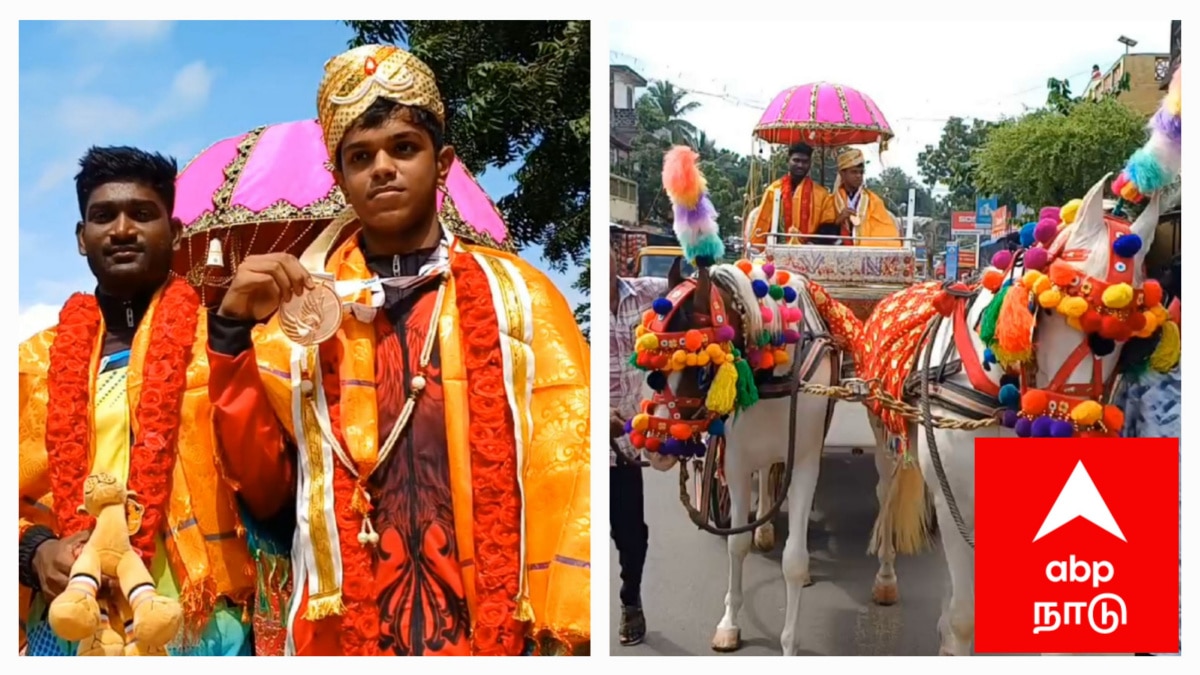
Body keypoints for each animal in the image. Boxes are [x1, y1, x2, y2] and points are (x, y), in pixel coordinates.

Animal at [873, 176, 1161, 653]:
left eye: (1127, 340)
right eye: (1051, 311)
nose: (1064, 427)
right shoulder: (957, 495)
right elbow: (965, 616)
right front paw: (954, 637)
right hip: (889, 434)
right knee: (888, 491)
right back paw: (886, 577)